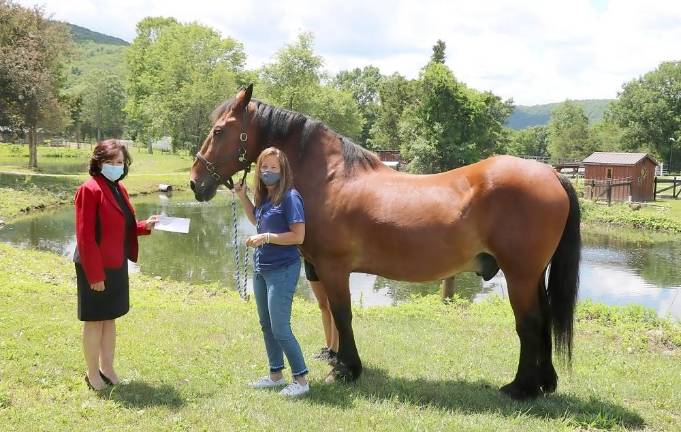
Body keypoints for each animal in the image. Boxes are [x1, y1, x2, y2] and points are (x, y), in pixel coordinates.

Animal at [190, 85, 580, 402]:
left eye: (219, 130)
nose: (195, 182)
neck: (331, 179)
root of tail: (551, 173)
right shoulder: (319, 268)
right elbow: (331, 314)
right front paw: (338, 361)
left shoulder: (333, 268)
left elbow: (342, 314)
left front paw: (347, 369)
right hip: (532, 277)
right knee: (544, 320)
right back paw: (544, 383)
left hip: (520, 276)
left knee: (529, 323)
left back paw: (521, 388)